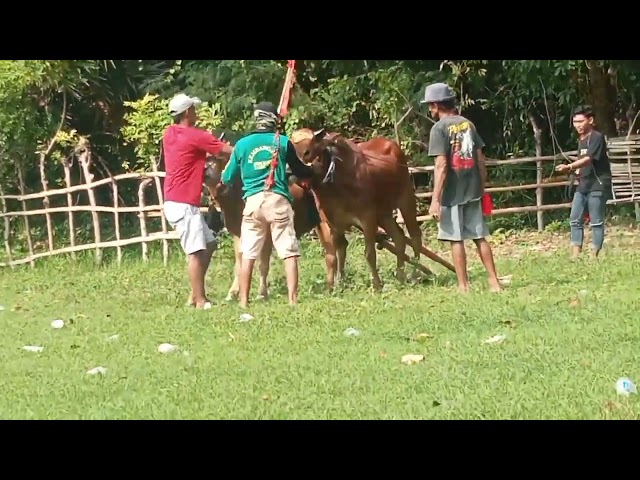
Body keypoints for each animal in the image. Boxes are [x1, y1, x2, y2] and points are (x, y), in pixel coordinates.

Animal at [296, 127, 424, 290]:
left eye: (307, 151)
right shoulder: (332, 222)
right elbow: (335, 253)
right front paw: (334, 284)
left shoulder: (367, 218)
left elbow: (369, 253)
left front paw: (376, 285)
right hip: (384, 214)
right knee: (399, 237)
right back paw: (401, 276)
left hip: (406, 200)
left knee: (415, 236)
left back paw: (415, 275)